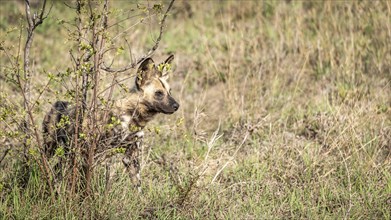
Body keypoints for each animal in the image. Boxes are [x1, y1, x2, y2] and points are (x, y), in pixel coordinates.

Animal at [42, 55, 179, 192]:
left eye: (170, 91)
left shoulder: (131, 157)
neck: (132, 117)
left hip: (67, 155)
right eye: (159, 93)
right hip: (50, 150)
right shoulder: (100, 155)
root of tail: (57, 104)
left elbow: (138, 187)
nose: (177, 106)